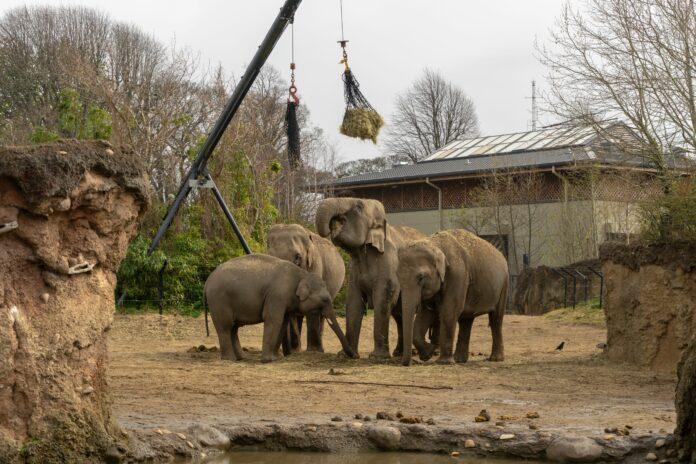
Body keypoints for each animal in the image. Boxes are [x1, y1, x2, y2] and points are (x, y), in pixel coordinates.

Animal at [204, 254, 356, 363]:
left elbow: (283, 322)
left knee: (234, 328)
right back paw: (230, 359)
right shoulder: (277, 295)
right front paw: (267, 360)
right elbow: (273, 320)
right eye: (325, 299)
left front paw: (276, 357)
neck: (302, 274)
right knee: (225, 327)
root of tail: (206, 282)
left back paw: (242, 358)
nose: (355, 356)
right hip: (219, 301)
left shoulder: (284, 300)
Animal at [267, 223, 345, 353]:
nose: (286, 353)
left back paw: (320, 349)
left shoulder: (315, 265)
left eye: (298, 257)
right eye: (269, 255)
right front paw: (295, 351)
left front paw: (313, 351)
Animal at [315, 197, 438, 359]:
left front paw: (377, 357)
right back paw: (400, 353)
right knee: (400, 314)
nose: (334, 224)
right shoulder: (354, 269)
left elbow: (383, 299)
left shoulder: (388, 262)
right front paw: (346, 355)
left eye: (359, 206)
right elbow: (354, 302)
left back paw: (433, 352)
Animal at [396, 229, 509, 366]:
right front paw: (428, 353)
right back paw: (460, 360)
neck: (435, 244)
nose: (406, 363)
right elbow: (425, 314)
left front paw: (443, 361)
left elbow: (449, 311)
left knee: (496, 318)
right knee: (466, 320)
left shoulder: (458, 274)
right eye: (398, 277)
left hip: (504, 284)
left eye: (421, 277)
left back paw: (496, 359)